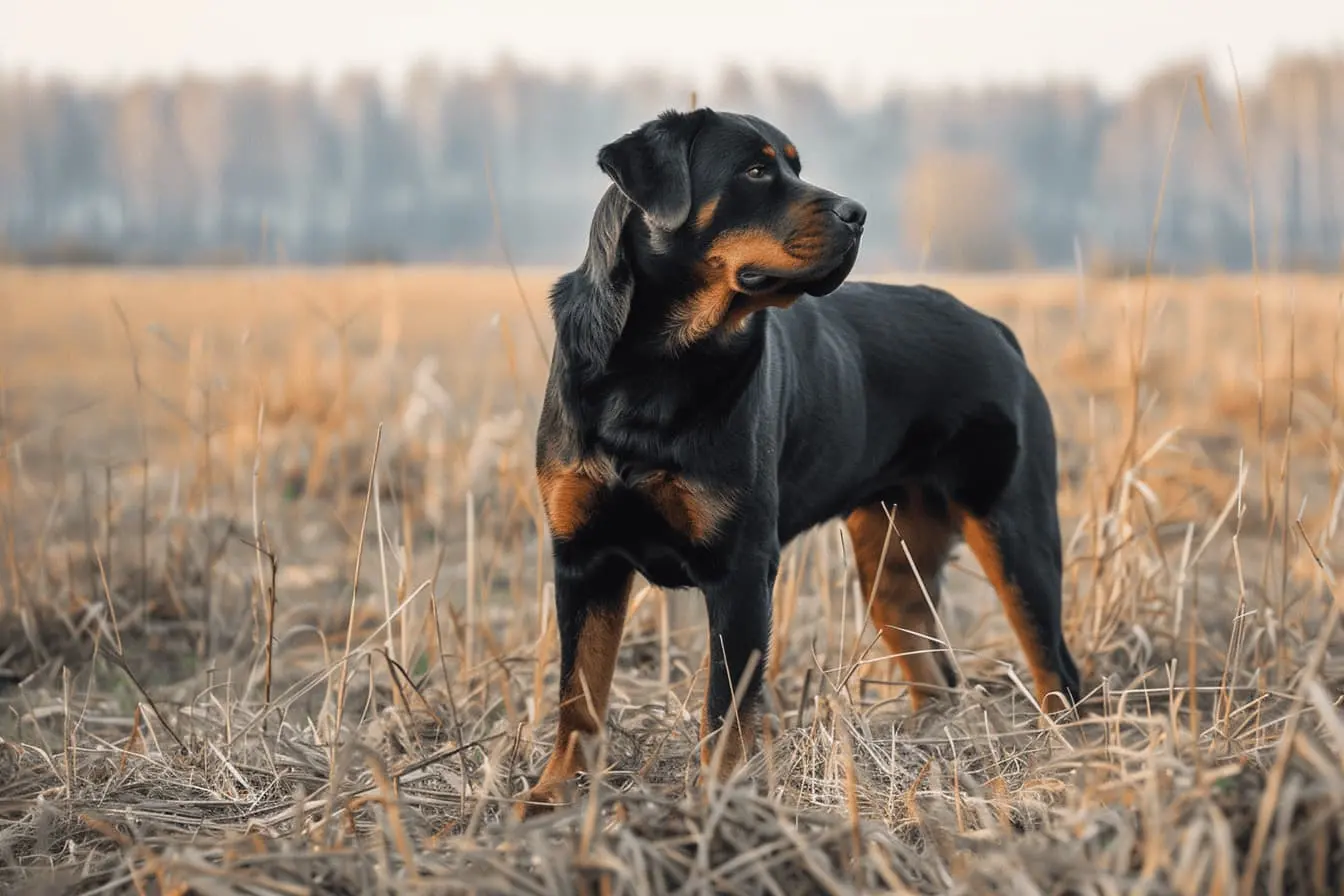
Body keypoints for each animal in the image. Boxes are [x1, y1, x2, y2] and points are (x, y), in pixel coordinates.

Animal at [513, 106, 1080, 822]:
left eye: (794, 167)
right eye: (756, 171)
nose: (857, 213)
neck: (658, 364)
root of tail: (997, 330)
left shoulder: (741, 568)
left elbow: (727, 709)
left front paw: (716, 803)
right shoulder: (584, 557)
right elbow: (578, 691)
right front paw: (554, 792)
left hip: (1015, 533)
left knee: (1056, 669)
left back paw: (1064, 769)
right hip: (891, 564)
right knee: (936, 674)